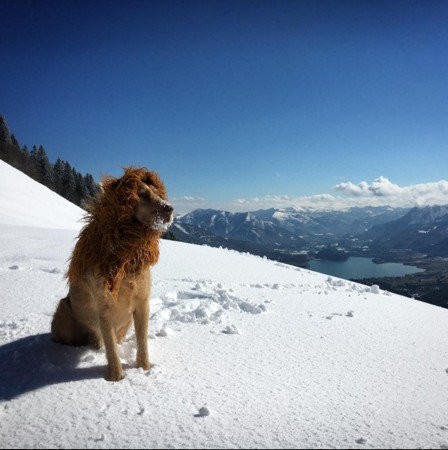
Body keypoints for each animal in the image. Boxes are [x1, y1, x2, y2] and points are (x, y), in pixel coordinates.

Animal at [51, 167, 173, 382]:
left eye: (159, 194)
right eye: (142, 195)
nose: (169, 208)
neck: (127, 255)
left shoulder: (142, 303)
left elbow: (142, 341)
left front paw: (144, 368)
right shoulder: (105, 306)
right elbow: (110, 348)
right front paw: (116, 377)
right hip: (63, 309)